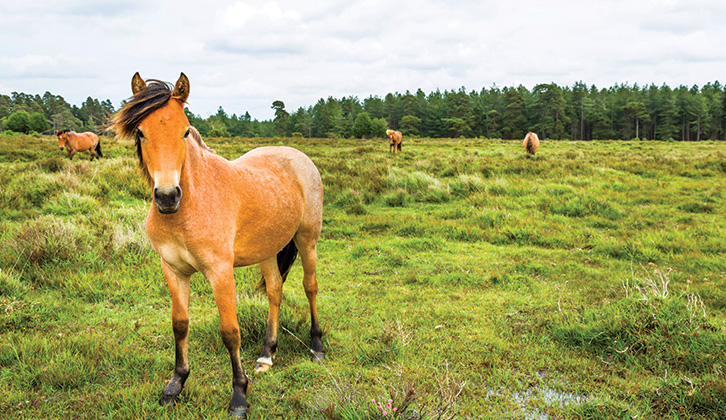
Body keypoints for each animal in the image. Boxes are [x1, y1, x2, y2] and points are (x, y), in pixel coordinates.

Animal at [111, 72, 328, 416]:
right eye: (141, 132)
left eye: (185, 131)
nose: (167, 196)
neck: (190, 206)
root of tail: (297, 155)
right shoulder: (172, 270)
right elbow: (180, 324)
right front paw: (175, 385)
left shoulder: (220, 271)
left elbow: (230, 332)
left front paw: (239, 395)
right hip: (267, 250)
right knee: (274, 291)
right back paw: (267, 354)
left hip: (307, 239)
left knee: (310, 286)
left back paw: (316, 346)